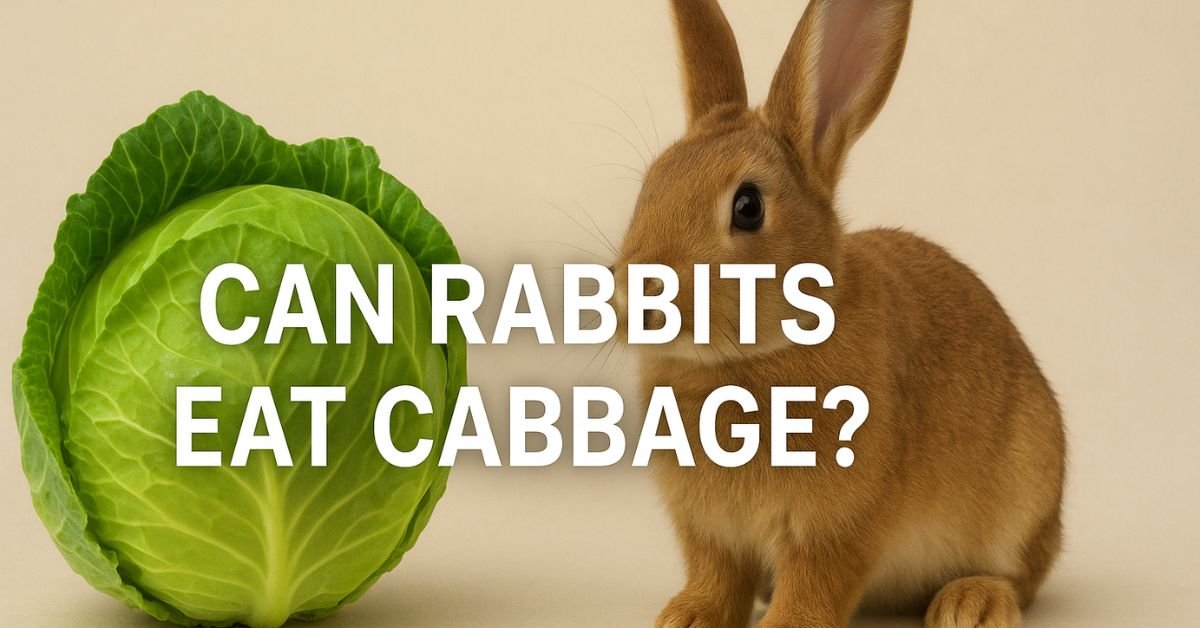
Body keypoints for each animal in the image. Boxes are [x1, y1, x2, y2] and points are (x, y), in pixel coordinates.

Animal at [610, 1, 1066, 627]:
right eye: (651, 183)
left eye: (748, 207)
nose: (634, 298)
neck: (743, 361)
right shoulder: (709, 532)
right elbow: (717, 575)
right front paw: (688, 617)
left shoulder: (840, 526)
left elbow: (816, 584)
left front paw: (782, 624)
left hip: (1023, 497)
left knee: (1022, 577)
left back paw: (970, 603)